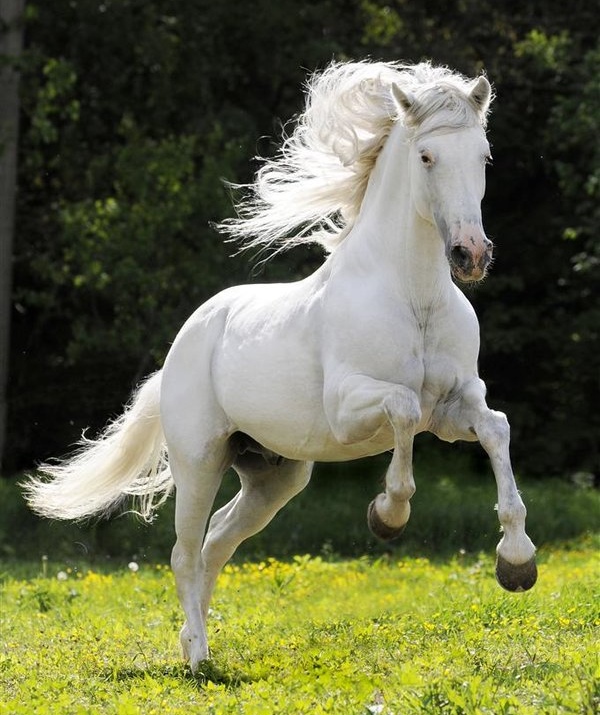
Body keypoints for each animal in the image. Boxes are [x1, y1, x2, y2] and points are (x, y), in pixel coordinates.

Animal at [24, 60, 537, 672]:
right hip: (200, 462)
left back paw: (193, 641)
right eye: (426, 157)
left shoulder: (457, 405)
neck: (414, 297)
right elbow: (403, 409)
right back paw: (199, 660)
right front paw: (387, 515)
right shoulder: (351, 408)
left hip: (273, 476)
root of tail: (182, 345)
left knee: (216, 544)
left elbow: (495, 428)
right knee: (184, 553)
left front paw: (517, 563)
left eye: (483, 156)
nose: (471, 255)